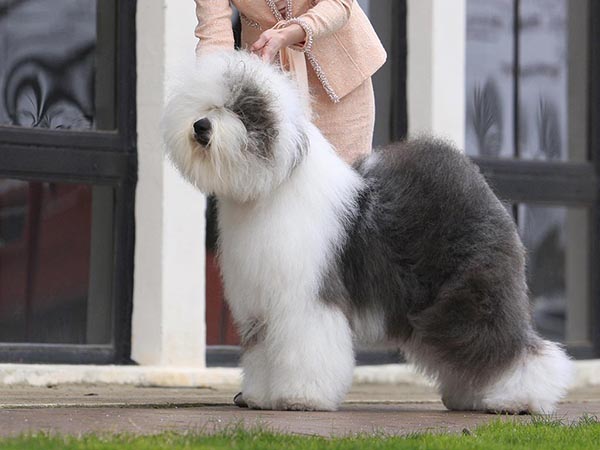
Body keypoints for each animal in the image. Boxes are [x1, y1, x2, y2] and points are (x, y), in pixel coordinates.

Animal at [162, 51, 576, 414]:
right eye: (205, 105)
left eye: (240, 109)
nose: (201, 126)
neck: (271, 188)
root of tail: (475, 181)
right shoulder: (261, 304)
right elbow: (263, 353)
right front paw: (260, 396)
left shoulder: (306, 298)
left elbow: (306, 347)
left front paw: (300, 398)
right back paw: (470, 396)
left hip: (473, 293)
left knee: (508, 344)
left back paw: (520, 399)